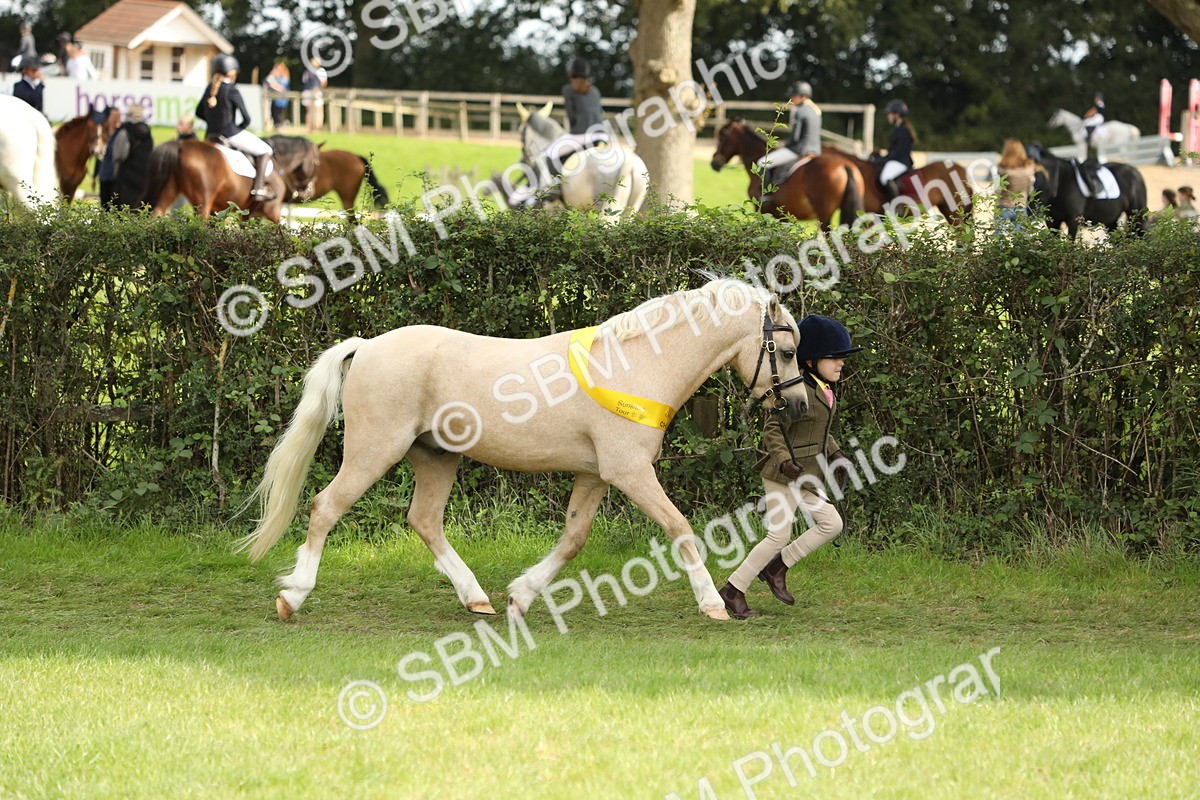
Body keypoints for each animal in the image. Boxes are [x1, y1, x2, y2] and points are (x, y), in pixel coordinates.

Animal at [143, 139, 286, 222]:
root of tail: (181, 145)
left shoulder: (243, 213)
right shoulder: (271, 210)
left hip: (169, 189)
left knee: (157, 213)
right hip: (203, 201)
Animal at [236, 278, 810, 623]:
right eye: (784, 350)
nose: (801, 405)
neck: (637, 365)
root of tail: (368, 345)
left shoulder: (594, 475)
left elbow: (573, 540)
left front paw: (522, 595)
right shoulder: (630, 471)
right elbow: (680, 528)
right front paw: (713, 605)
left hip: (436, 457)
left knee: (424, 520)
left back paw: (477, 597)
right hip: (374, 450)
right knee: (325, 506)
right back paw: (292, 595)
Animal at [516, 101, 649, 220]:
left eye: (520, 134)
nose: (523, 160)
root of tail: (631, 165)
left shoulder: (551, 205)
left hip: (608, 209)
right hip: (630, 210)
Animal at [710, 118, 864, 231]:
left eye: (722, 136)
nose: (714, 162)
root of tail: (844, 165)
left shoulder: (759, 209)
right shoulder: (782, 217)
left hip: (824, 215)